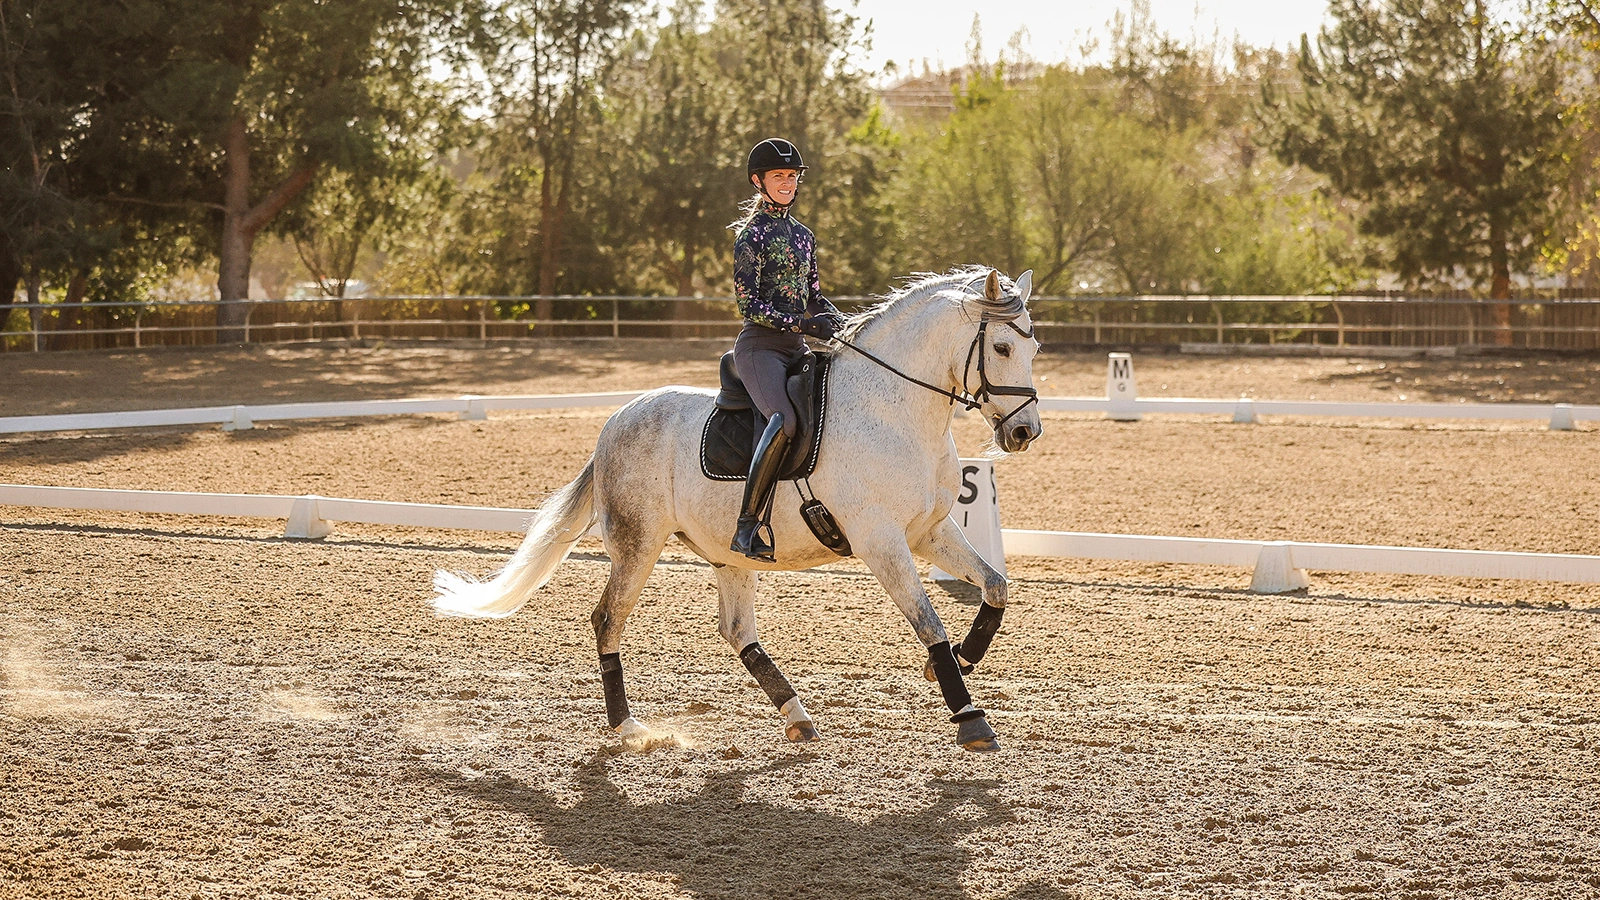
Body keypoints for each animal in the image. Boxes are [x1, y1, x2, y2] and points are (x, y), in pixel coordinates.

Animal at [431, 267, 1043, 752]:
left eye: (1034, 349)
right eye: (1003, 349)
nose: (1024, 433)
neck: (893, 411)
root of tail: (616, 423)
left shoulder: (928, 531)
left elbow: (995, 588)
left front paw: (960, 660)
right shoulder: (881, 542)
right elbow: (929, 622)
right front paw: (969, 717)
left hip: (728, 552)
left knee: (735, 630)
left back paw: (797, 716)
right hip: (637, 545)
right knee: (608, 619)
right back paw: (629, 727)